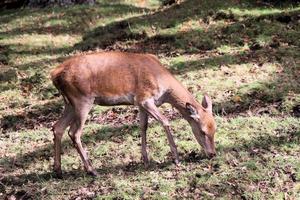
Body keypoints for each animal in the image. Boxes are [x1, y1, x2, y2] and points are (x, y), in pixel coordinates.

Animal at [50, 51, 217, 177]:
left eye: (215, 129)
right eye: (202, 131)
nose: (212, 154)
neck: (164, 85)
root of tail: (54, 75)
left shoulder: (140, 104)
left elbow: (143, 126)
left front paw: (145, 159)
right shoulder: (144, 98)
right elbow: (165, 121)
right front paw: (176, 158)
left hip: (70, 103)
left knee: (57, 127)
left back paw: (58, 170)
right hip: (82, 100)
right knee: (74, 132)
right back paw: (92, 170)